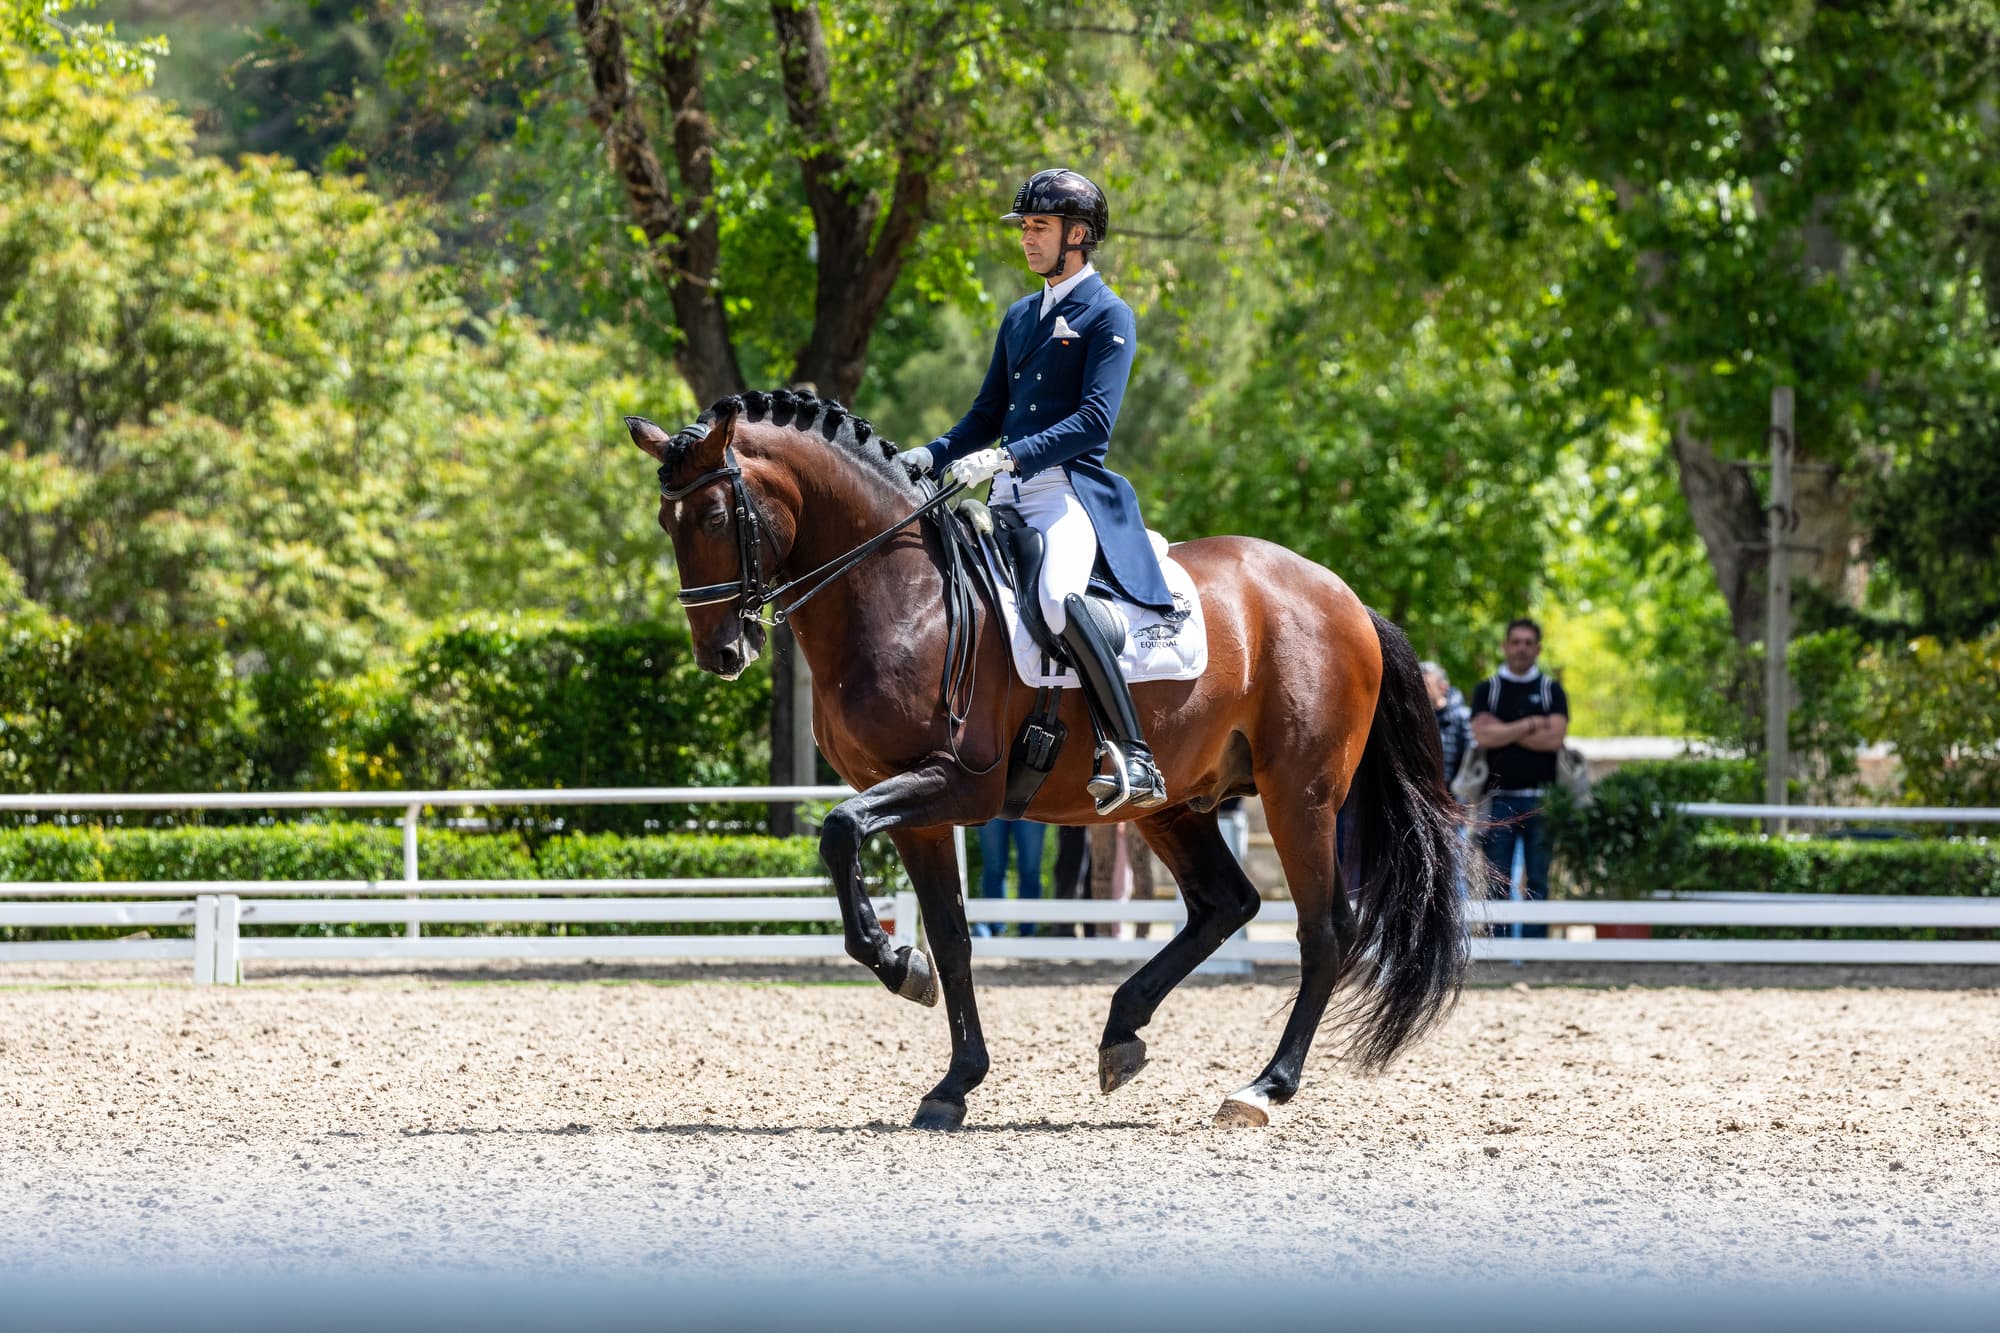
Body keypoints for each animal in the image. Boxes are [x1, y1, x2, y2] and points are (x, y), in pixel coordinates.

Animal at [628, 384, 1472, 1120]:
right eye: (667, 523)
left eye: (713, 513)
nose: (722, 652)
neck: (899, 595)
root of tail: (1343, 596)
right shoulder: (915, 810)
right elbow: (951, 937)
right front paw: (952, 1077)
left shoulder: (954, 783)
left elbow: (838, 833)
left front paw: (900, 969)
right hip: (1175, 801)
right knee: (1225, 903)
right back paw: (1122, 1031)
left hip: (1300, 794)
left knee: (1324, 930)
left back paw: (1265, 1086)